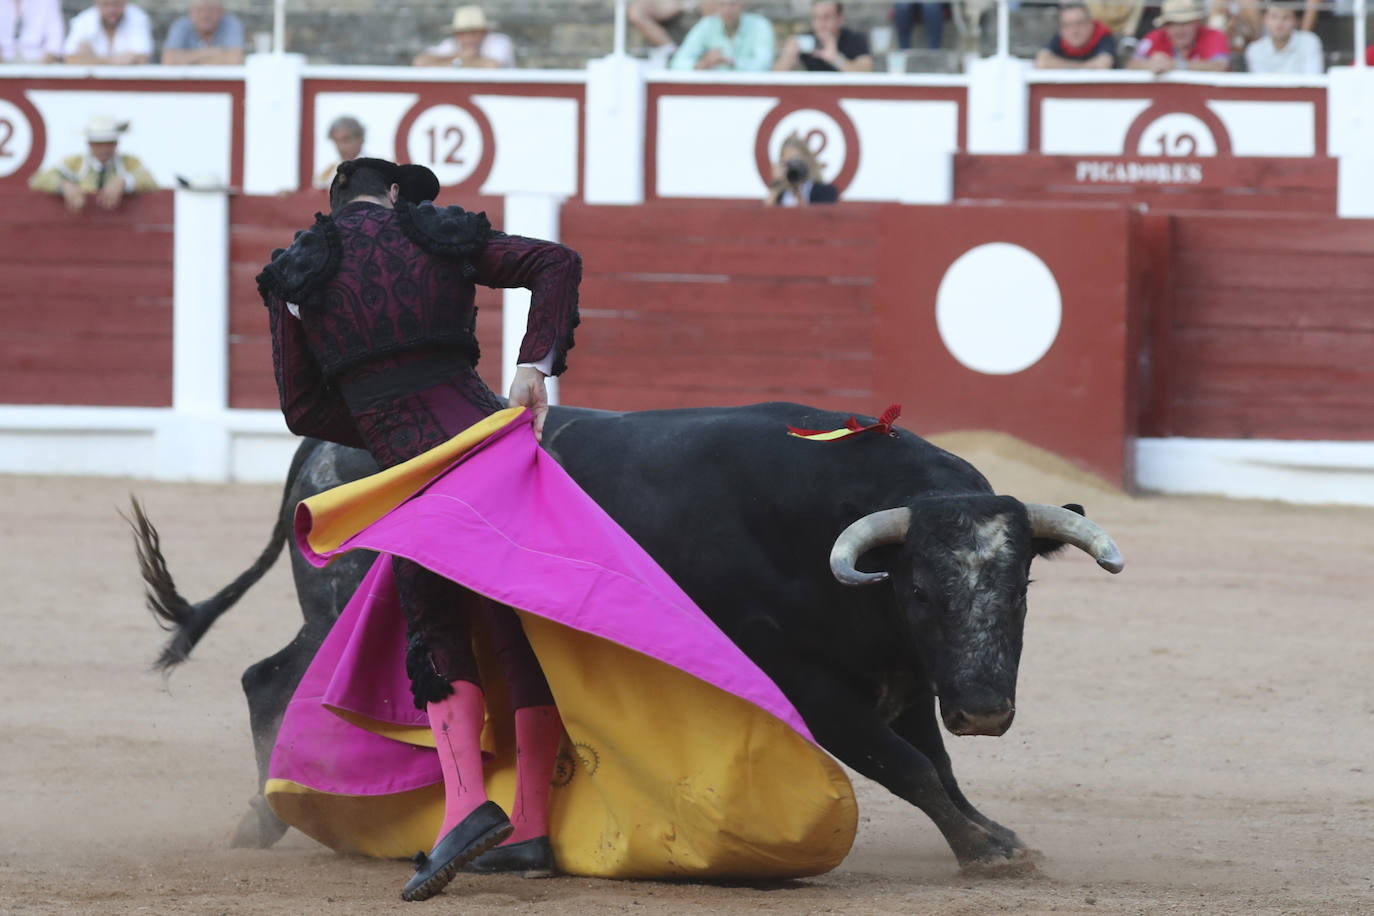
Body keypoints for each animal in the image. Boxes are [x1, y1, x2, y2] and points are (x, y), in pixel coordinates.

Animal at [129, 403, 1121, 873]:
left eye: (1021, 587)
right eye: (919, 587)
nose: (985, 707)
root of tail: (327, 448)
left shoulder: (904, 680)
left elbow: (935, 767)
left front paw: (991, 835)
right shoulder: (815, 690)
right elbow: (908, 767)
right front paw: (989, 851)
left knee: (270, 677)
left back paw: (269, 817)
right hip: (350, 607)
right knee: (276, 683)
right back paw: (271, 817)